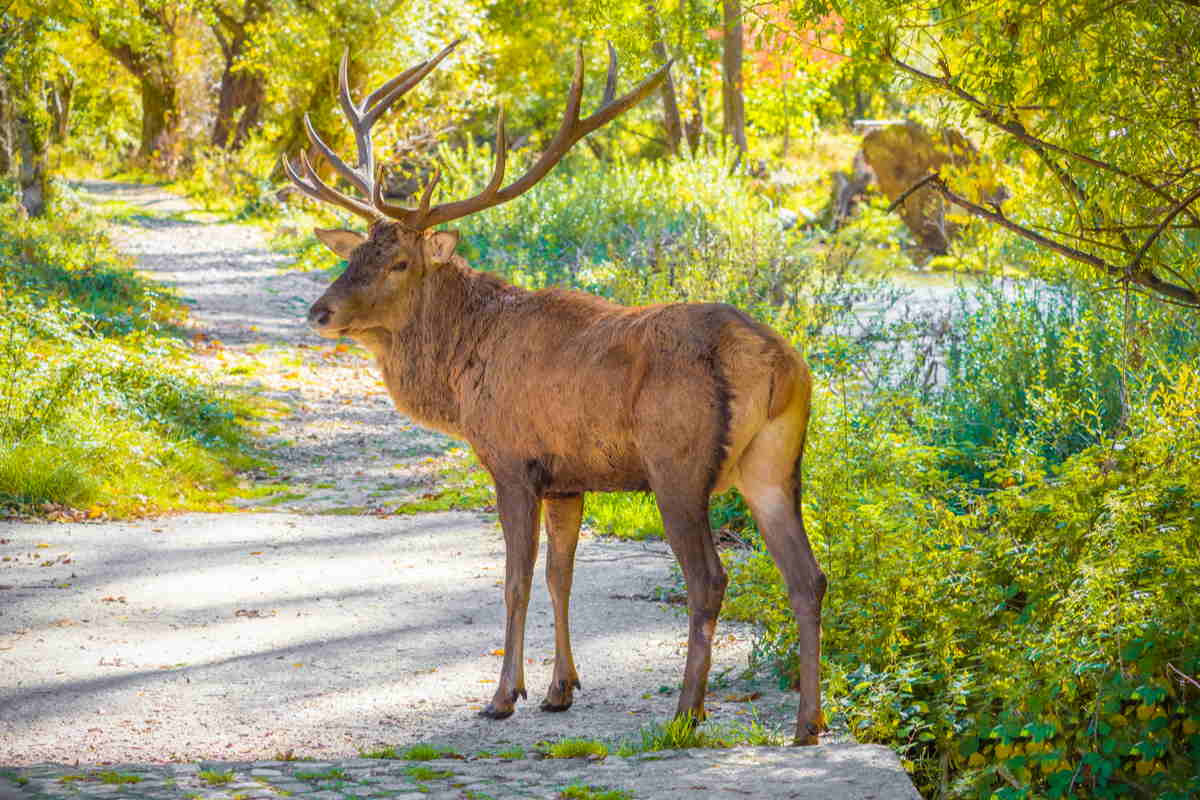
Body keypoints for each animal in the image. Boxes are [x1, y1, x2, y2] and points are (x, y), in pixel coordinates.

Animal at [282, 42, 830, 743]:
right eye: (353, 256)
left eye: (399, 262)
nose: (319, 311)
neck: (459, 374)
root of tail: (776, 364)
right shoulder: (569, 477)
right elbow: (560, 576)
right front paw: (560, 689)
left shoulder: (512, 461)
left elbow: (515, 580)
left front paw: (502, 695)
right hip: (775, 465)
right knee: (807, 577)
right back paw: (808, 721)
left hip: (678, 465)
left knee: (710, 578)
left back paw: (687, 712)